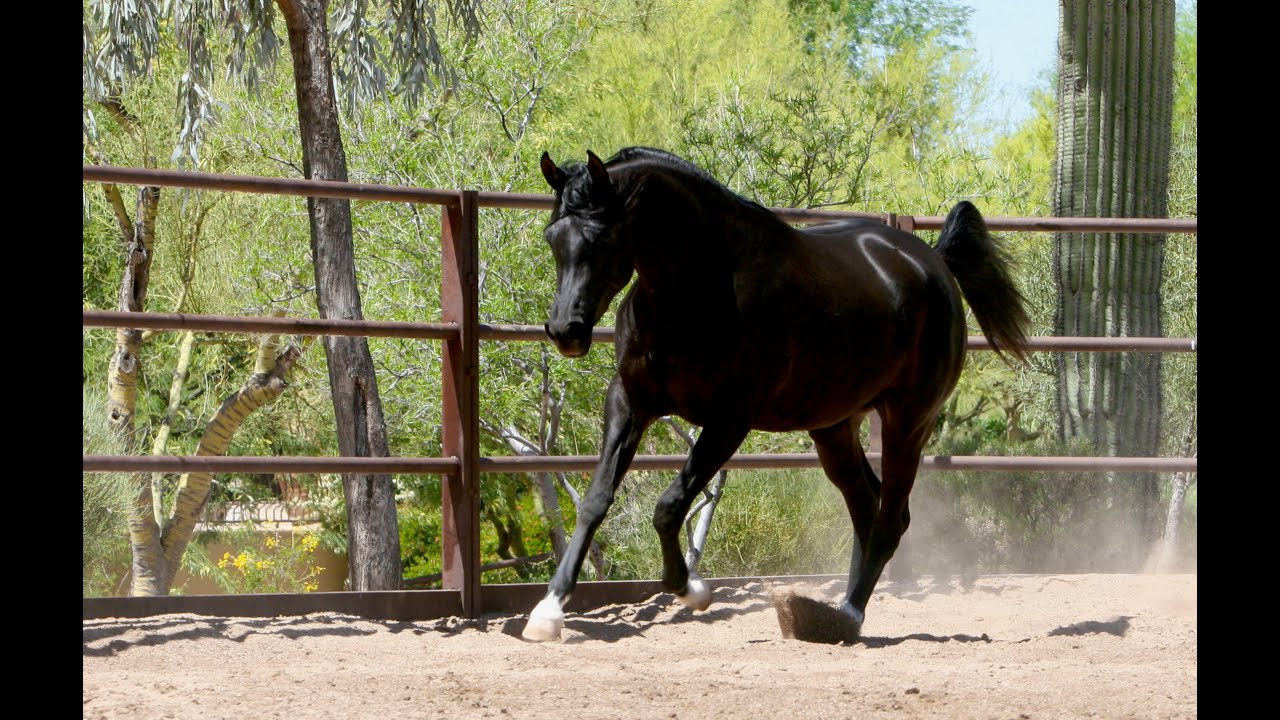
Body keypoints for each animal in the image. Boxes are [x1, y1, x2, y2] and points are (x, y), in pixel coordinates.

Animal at [521, 147, 1029, 643]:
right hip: (833, 428)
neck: (698, 289)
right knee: (867, 509)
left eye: (600, 238)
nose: (565, 331)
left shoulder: (729, 420)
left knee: (889, 521)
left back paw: (847, 615)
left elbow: (669, 507)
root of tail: (933, 261)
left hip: (908, 422)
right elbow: (595, 500)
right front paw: (548, 612)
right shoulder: (630, 402)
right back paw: (830, 616)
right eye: (552, 238)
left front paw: (692, 590)